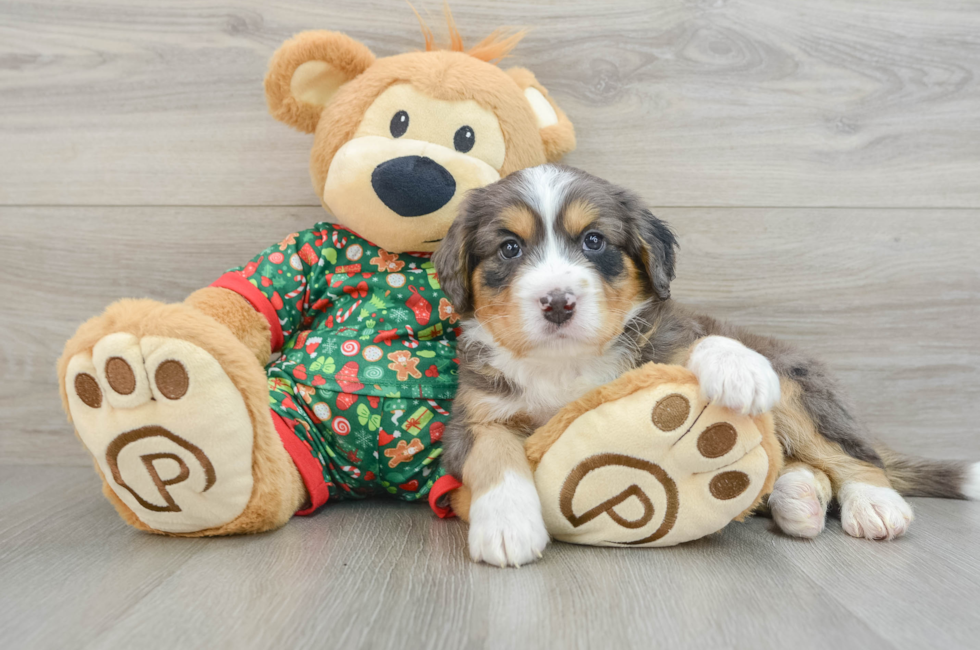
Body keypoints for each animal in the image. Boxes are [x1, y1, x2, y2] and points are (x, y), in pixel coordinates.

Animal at [434, 165, 980, 564]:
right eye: (510, 247)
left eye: (594, 241)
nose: (557, 303)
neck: (565, 363)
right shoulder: (473, 418)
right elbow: (496, 454)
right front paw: (508, 524)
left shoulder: (666, 337)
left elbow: (698, 339)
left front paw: (738, 369)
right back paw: (796, 498)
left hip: (799, 389)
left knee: (852, 454)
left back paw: (875, 504)